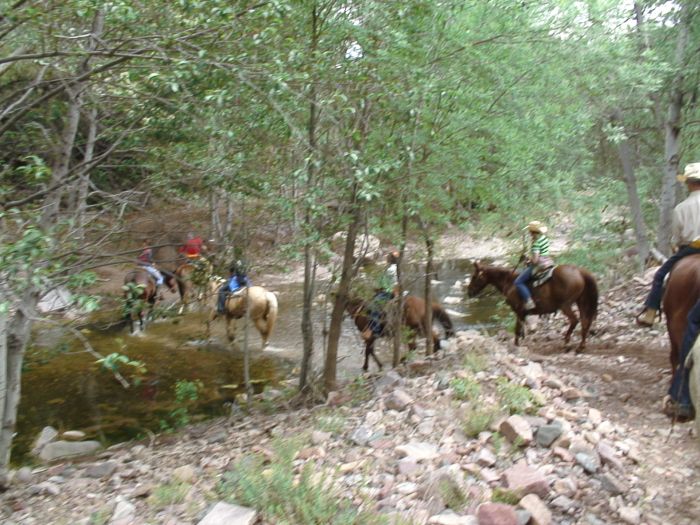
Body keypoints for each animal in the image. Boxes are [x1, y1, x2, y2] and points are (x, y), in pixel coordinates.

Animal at [468, 260, 600, 352]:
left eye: (474, 277)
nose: (469, 292)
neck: (509, 281)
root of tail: (580, 271)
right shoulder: (522, 314)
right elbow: (521, 330)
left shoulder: (519, 311)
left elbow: (517, 330)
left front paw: (516, 345)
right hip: (581, 302)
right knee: (585, 322)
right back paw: (580, 346)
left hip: (565, 305)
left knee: (574, 320)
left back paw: (566, 343)